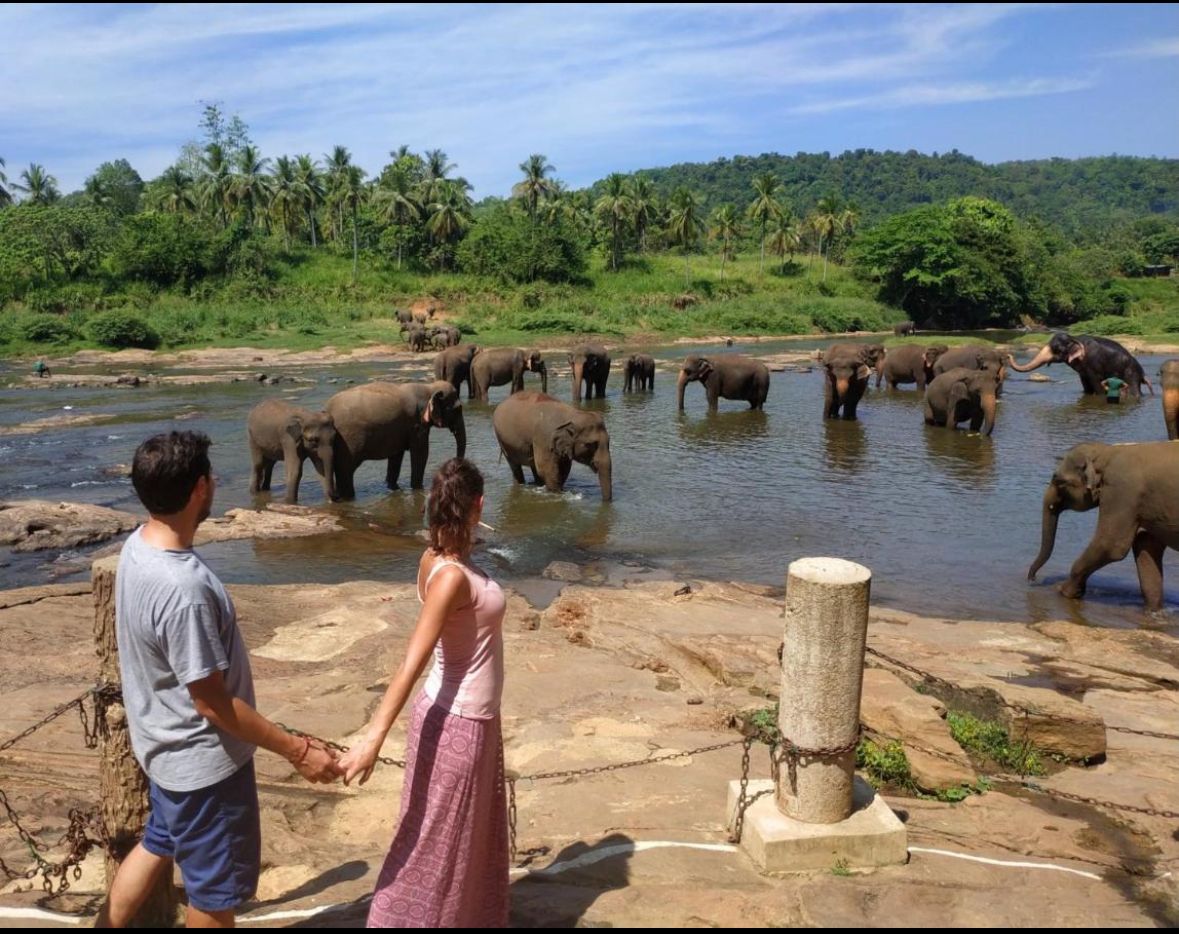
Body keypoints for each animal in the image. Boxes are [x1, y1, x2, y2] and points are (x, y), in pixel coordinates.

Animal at [327, 379, 469, 500]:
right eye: (458, 409)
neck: (429, 387)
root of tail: (327, 409)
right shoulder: (417, 425)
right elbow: (421, 453)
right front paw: (417, 489)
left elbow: (396, 456)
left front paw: (393, 489)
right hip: (347, 442)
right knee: (346, 470)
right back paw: (348, 498)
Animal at [1004, 332, 1150, 398]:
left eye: (1057, 349)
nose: (1008, 355)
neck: (1074, 338)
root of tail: (1142, 373)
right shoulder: (1083, 369)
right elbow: (1085, 384)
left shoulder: (1093, 364)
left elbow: (1096, 382)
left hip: (1131, 373)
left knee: (1134, 390)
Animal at [1023, 443, 1179, 613]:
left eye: (1057, 480)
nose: (1032, 579)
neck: (1107, 452)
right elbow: (1146, 544)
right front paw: (1153, 611)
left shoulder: (1122, 492)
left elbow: (1110, 545)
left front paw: (1063, 591)